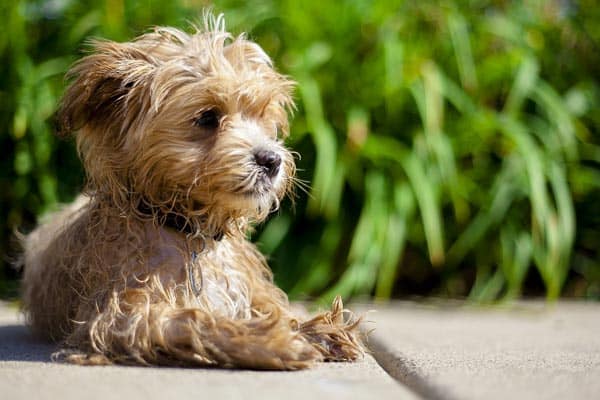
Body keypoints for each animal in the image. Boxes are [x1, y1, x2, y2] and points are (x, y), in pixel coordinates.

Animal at [21, 13, 364, 368]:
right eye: (207, 117)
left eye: (262, 116)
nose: (271, 160)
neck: (189, 232)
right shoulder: (121, 315)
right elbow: (194, 320)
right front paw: (273, 340)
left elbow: (270, 305)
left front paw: (316, 329)